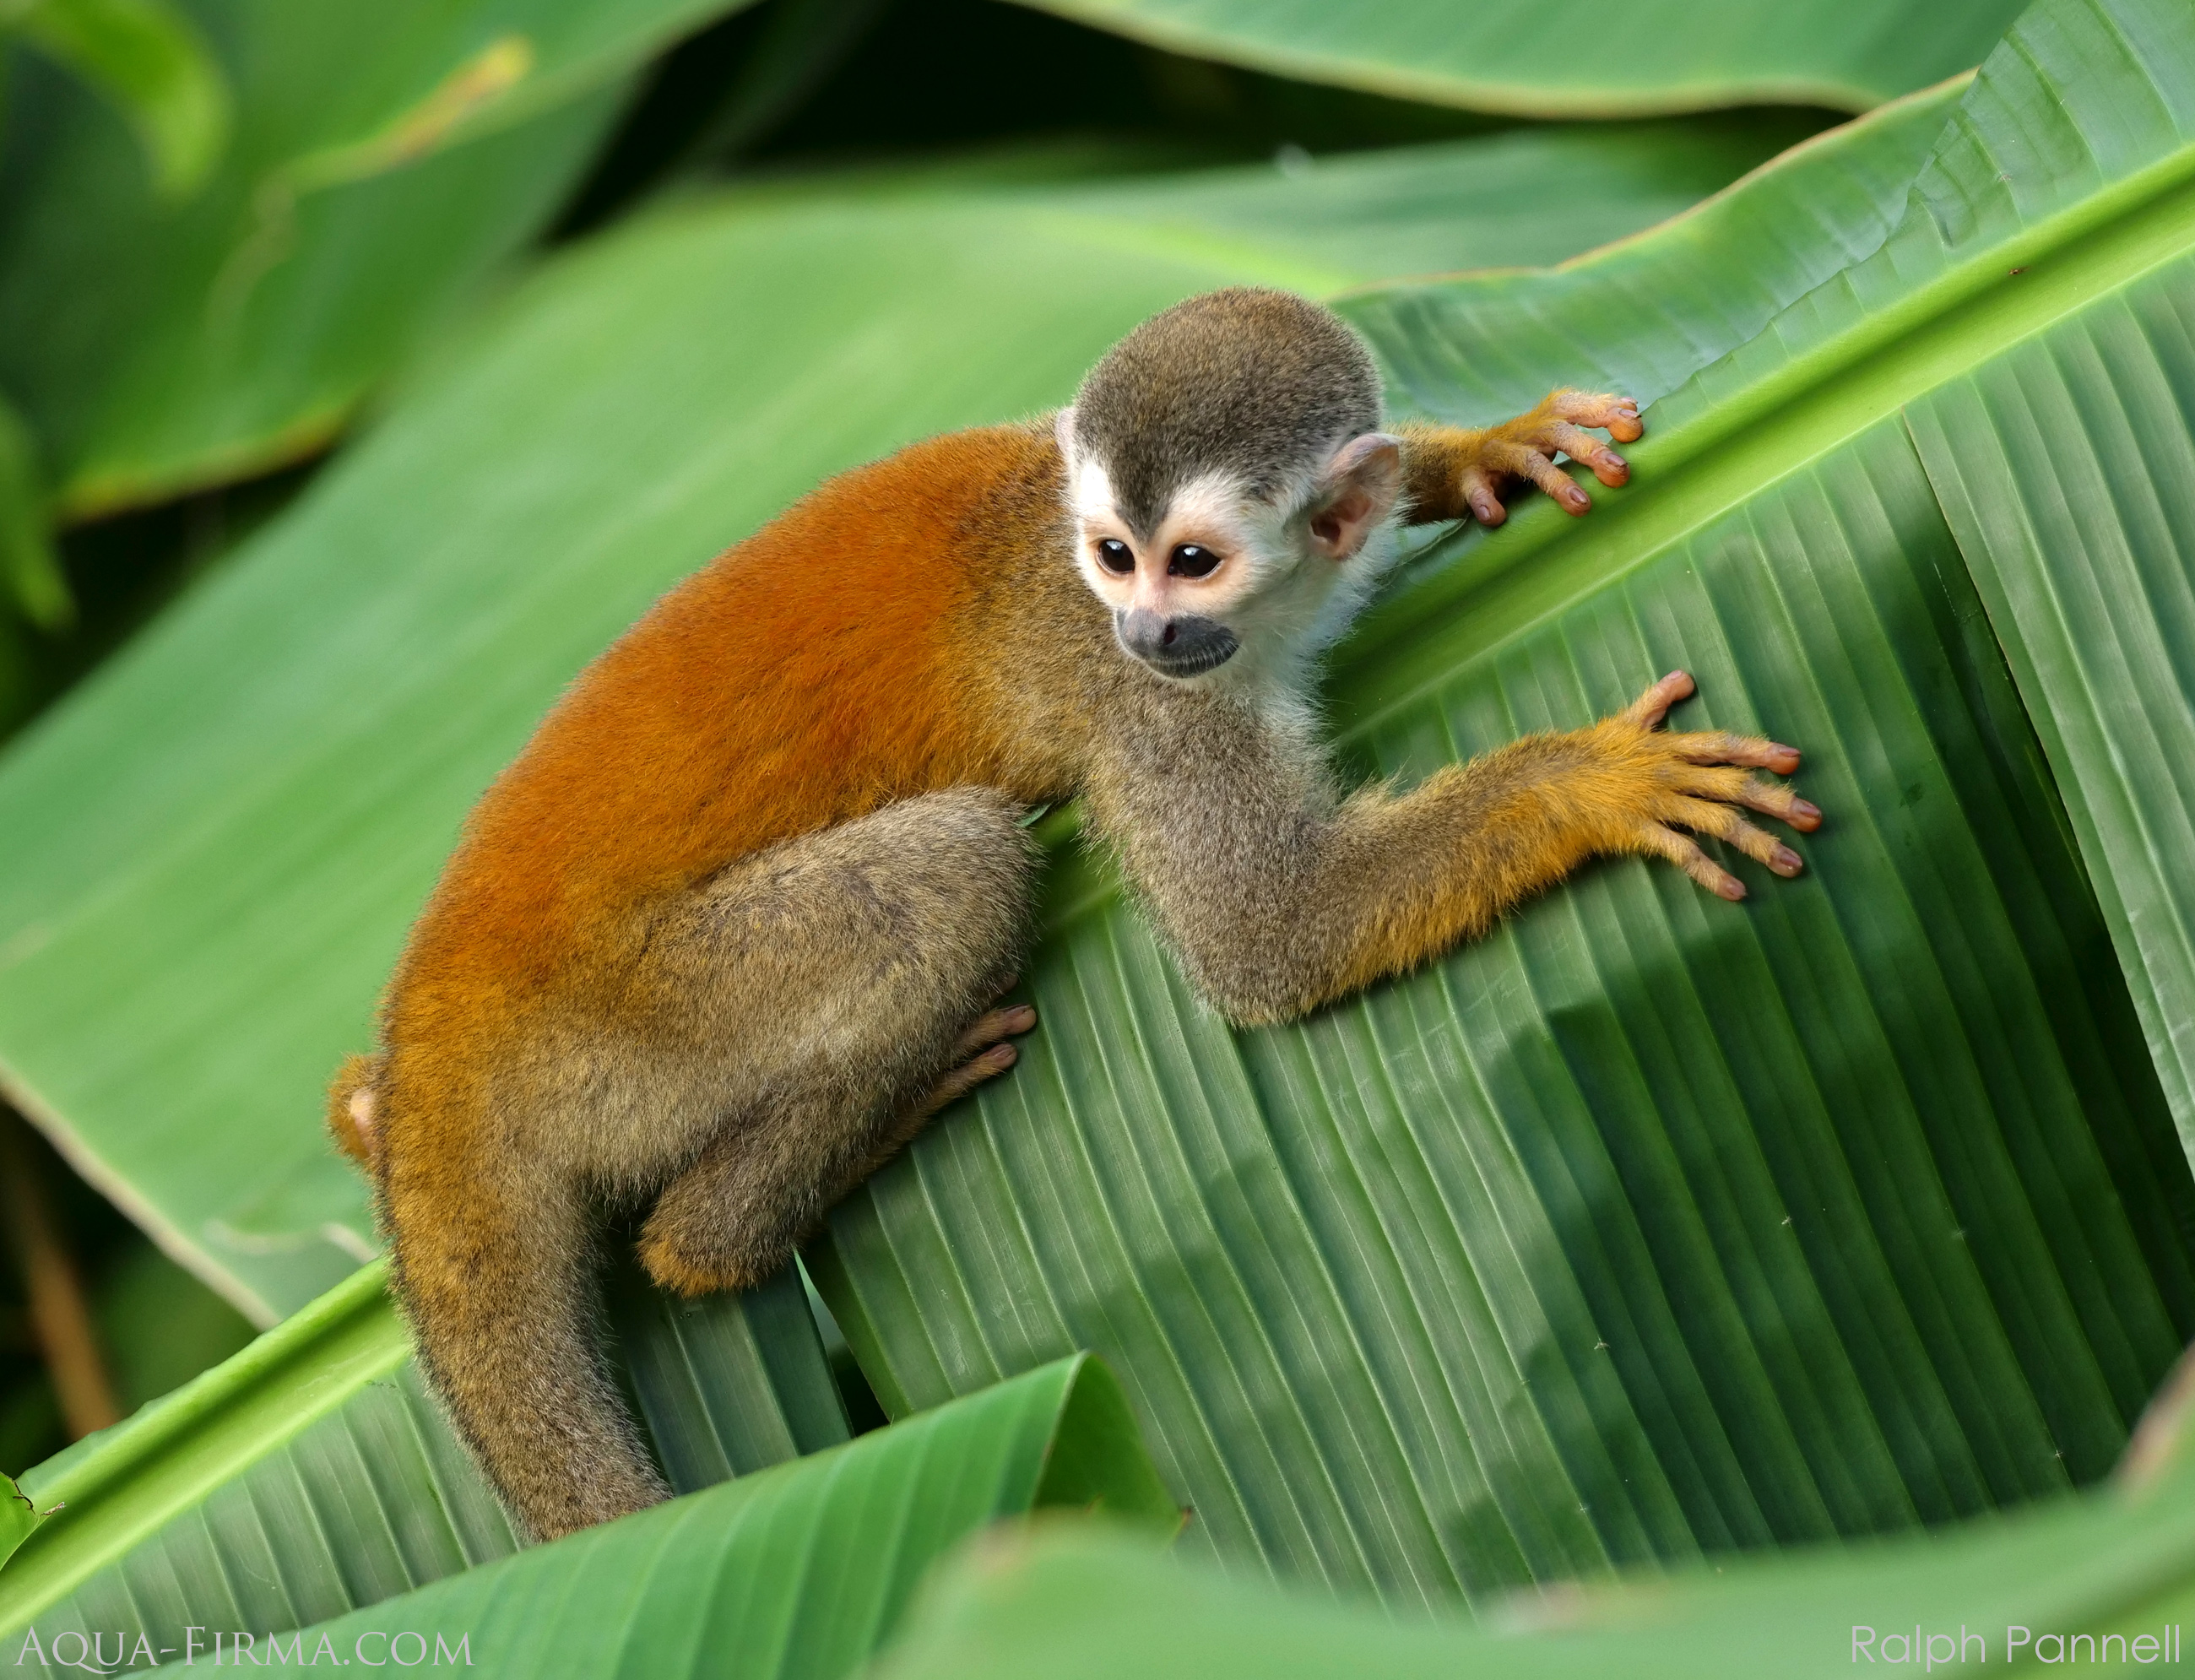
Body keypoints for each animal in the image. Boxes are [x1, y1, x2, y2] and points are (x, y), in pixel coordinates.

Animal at [324, 285, 1817, 1536]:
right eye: (1115, 557)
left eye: (1191, 561)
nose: (1147, 629)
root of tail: (445, 1001)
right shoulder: (1136, 703)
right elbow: (1268, 937)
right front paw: (1593, 784)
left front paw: (1481, 450)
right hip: (632, 1021)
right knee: (956, 875)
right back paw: (766, 1200)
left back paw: (360, 1112)